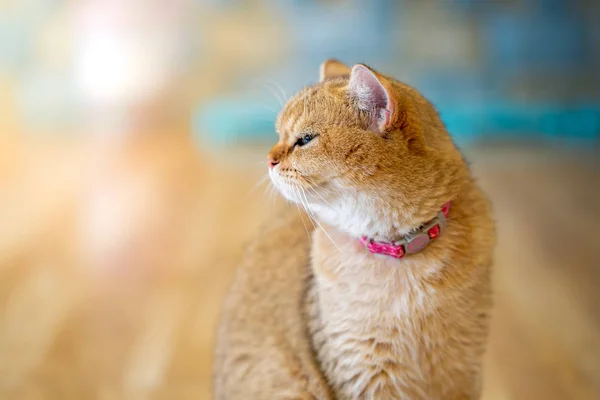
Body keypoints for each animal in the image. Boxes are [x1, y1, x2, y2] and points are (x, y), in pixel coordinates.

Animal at [213, 60, 494, 400]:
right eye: (279, 134)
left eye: (305, 139)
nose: (269, 160)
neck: (398, 251)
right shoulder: (365, 375)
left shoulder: (462, 374)